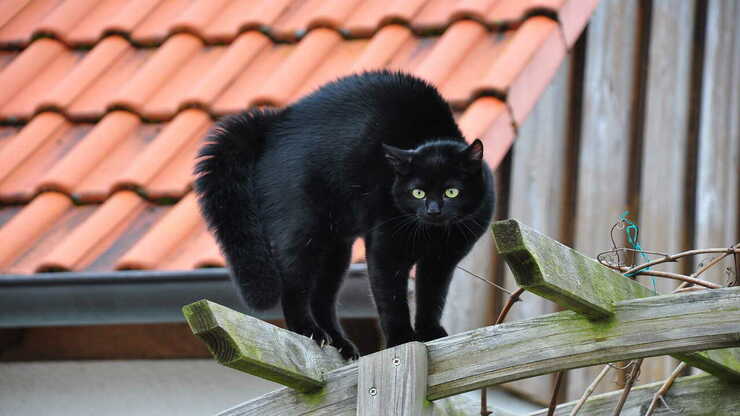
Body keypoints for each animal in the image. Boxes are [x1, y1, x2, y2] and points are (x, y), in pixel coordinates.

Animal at [197, 70, 494, 360]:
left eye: (451, 191)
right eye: (417, 192)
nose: (433, 210)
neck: (431, 233)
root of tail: (273, 124)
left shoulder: (442, 260)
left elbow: (432, 297)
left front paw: (430, 333)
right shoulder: (385, 250)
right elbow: (392, 299)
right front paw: (401, 340)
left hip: (336, 250)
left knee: (322, 299)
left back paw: (340, 343)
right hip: (303, 233)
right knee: (294, 286)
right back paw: (308, 331)